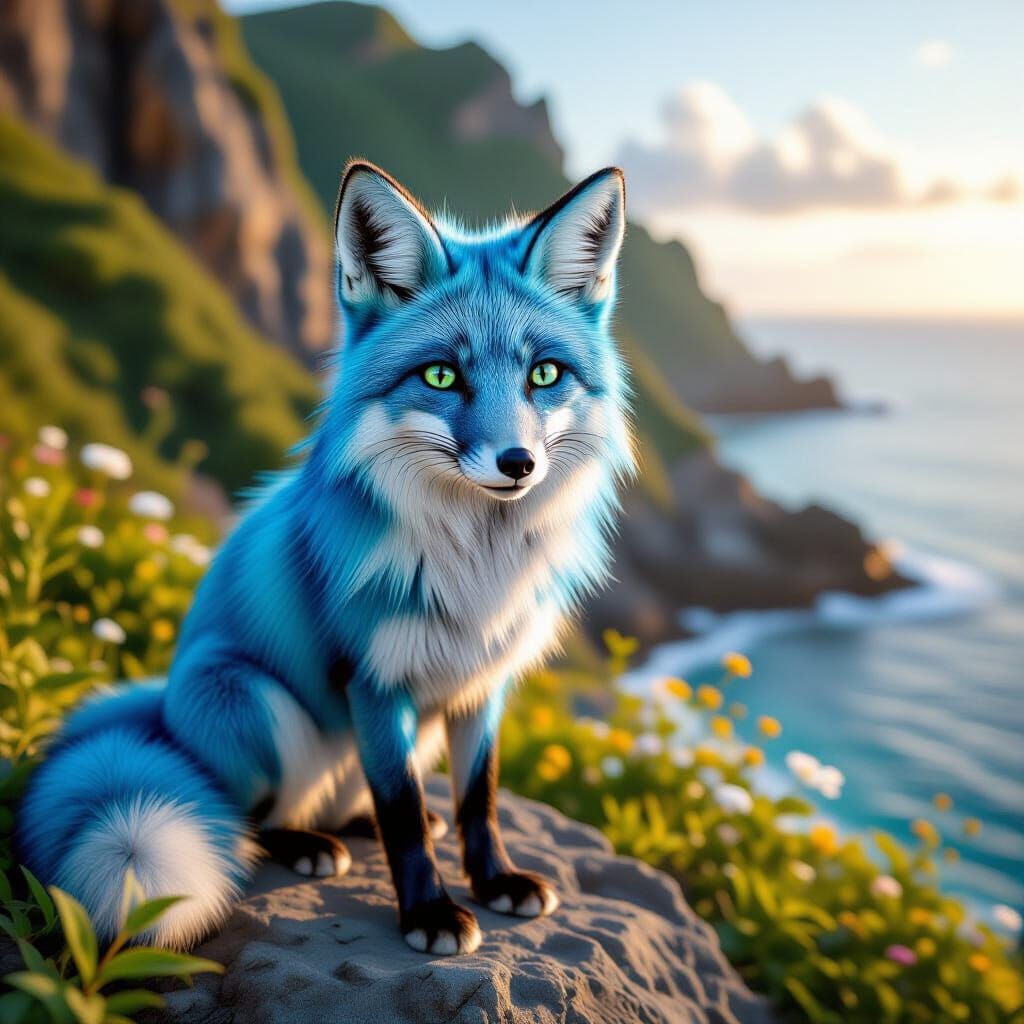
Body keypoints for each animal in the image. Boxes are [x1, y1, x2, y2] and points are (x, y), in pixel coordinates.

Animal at [16, 162, 634, 956]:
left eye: (545, 375)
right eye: (441, 377)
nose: (518, 462)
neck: (476, 571)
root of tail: (162, 706)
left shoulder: (482, 683)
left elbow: (480, 797)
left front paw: (494, 880)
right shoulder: (372, 678)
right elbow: (400, 810)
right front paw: (429, 913)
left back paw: (354, 822)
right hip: (253, 698)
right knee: (252, 822)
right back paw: (306, 844)